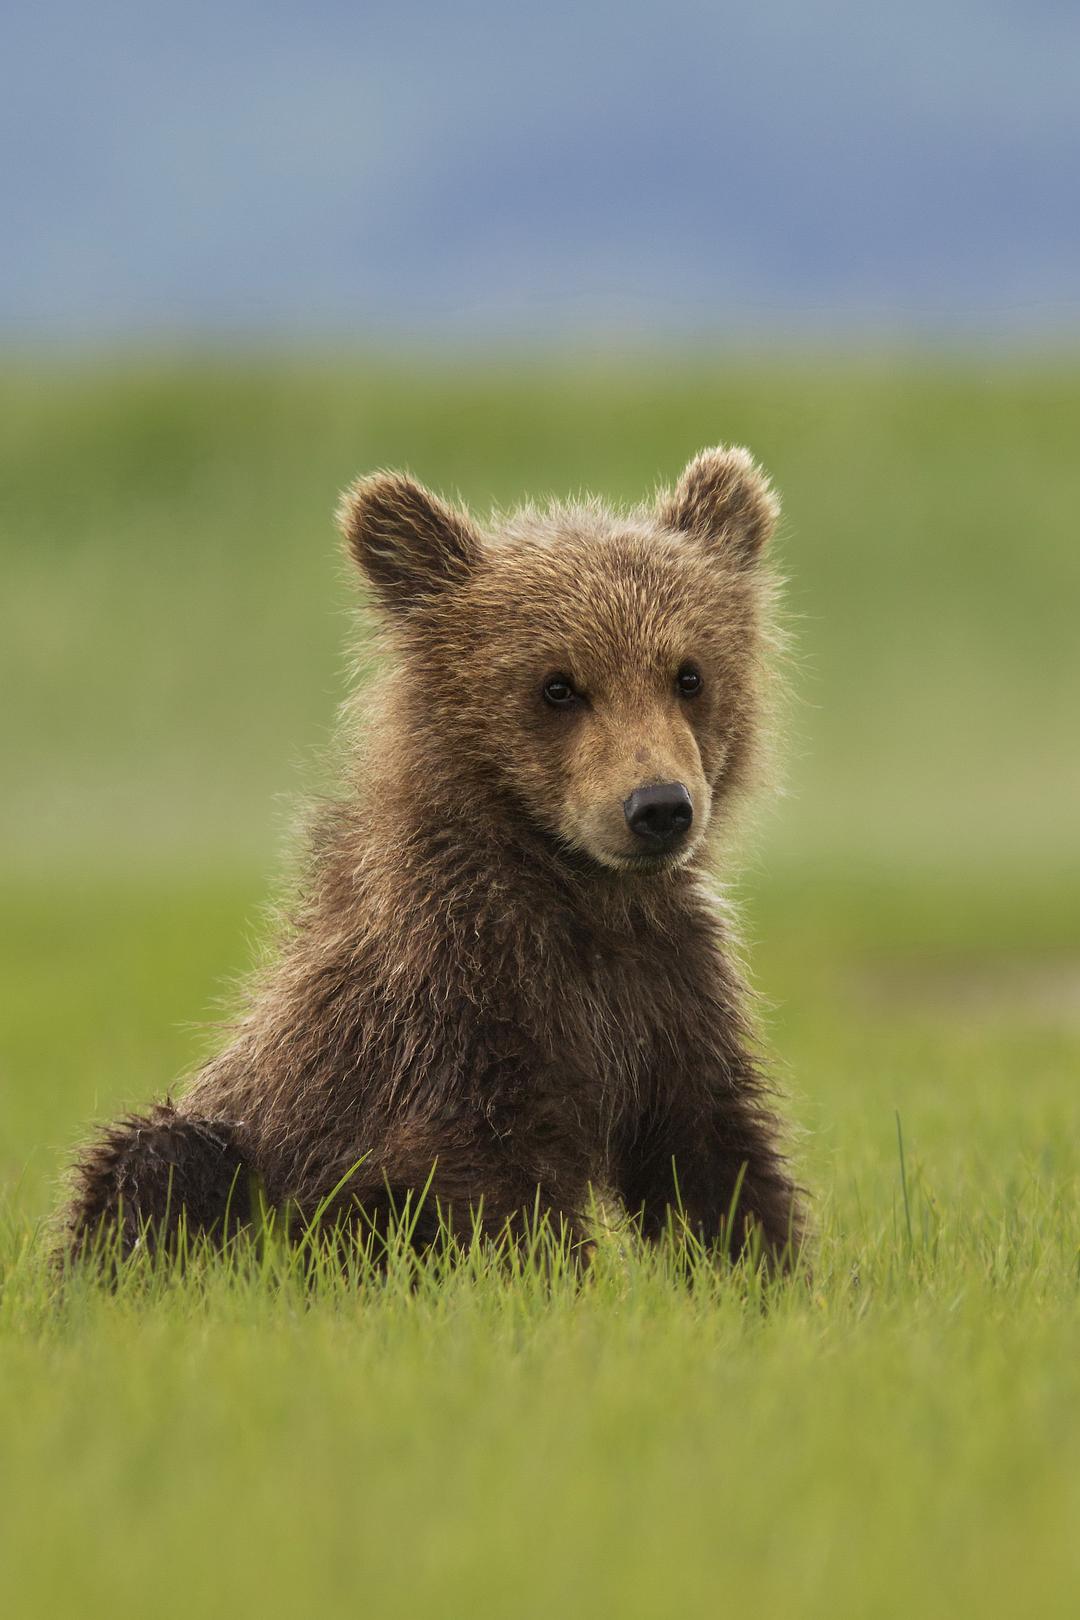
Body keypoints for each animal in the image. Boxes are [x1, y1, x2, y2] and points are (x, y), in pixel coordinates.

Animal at [63, 447, 804, 1269]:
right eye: (557, 685)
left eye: (689, 674)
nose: (659, 807)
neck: (581, 897)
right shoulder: (451, 1007)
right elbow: (495, 1186)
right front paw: (558, 1277)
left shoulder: (669, 995)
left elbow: (715, 1161)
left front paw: (765, 1269)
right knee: (164, 1159)